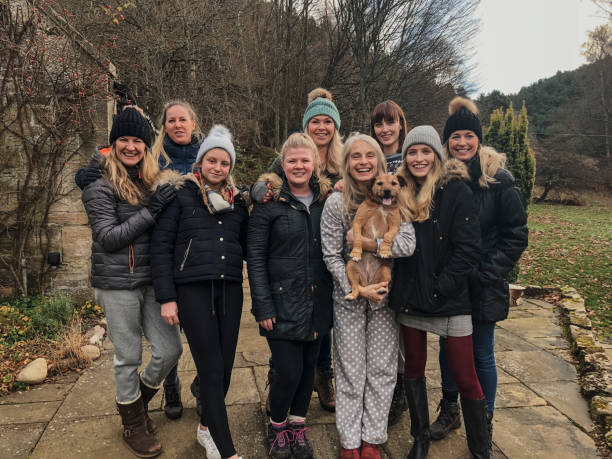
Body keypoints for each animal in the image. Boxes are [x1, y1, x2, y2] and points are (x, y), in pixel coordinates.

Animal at [346, 173, 404, 302]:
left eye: (394, 183)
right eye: (379, 183)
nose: (387, 191)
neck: (381, 205)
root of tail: (368, 281)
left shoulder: (395, 225)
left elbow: (388, 236)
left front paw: (384, 250)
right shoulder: (358, 222)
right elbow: (358, 238)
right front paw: (356, 252)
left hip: (385, 271)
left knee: (382, 284)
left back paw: (381, 289)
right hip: (350, 267)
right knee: (355, 286)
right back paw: (352, 295)